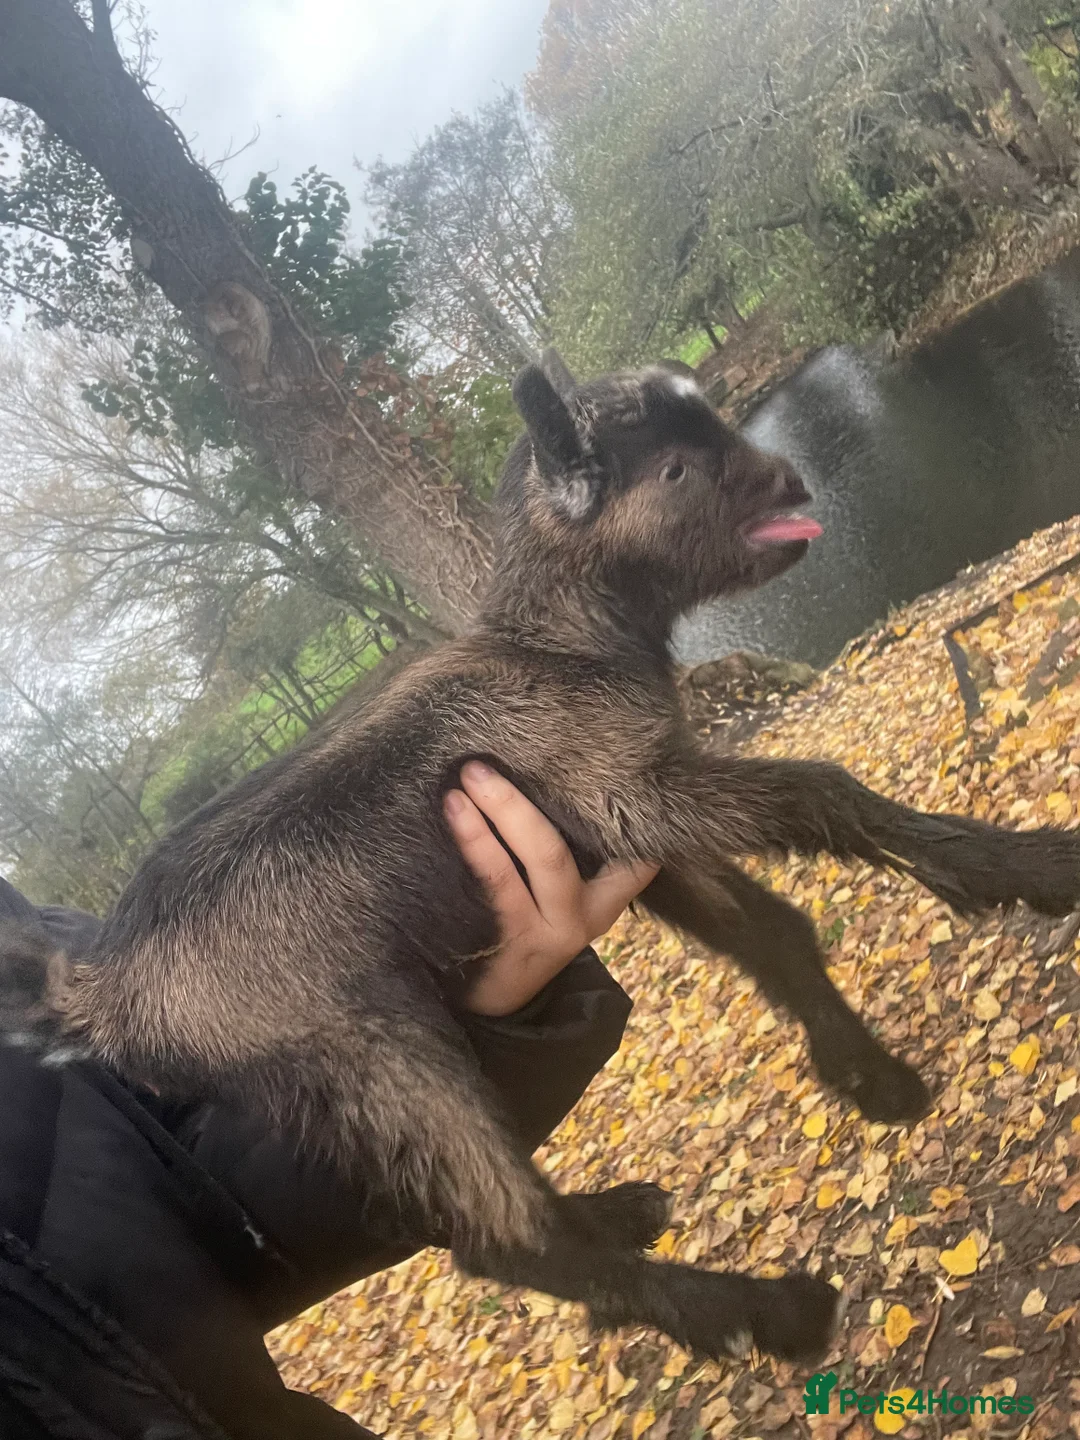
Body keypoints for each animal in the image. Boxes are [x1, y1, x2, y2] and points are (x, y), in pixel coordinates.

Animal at [5, 351, 1080, 1364]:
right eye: (676, 467)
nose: (790, 481)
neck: (562, 648)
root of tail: (105, 992)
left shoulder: (627, 837)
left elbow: (770, 931)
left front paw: (867, 1075)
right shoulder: (625, 788)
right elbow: (826, 791)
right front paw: (1028, 868)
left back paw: (623, 1216)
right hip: (366, 1041)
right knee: (506, 1241)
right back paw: (759, 1311)